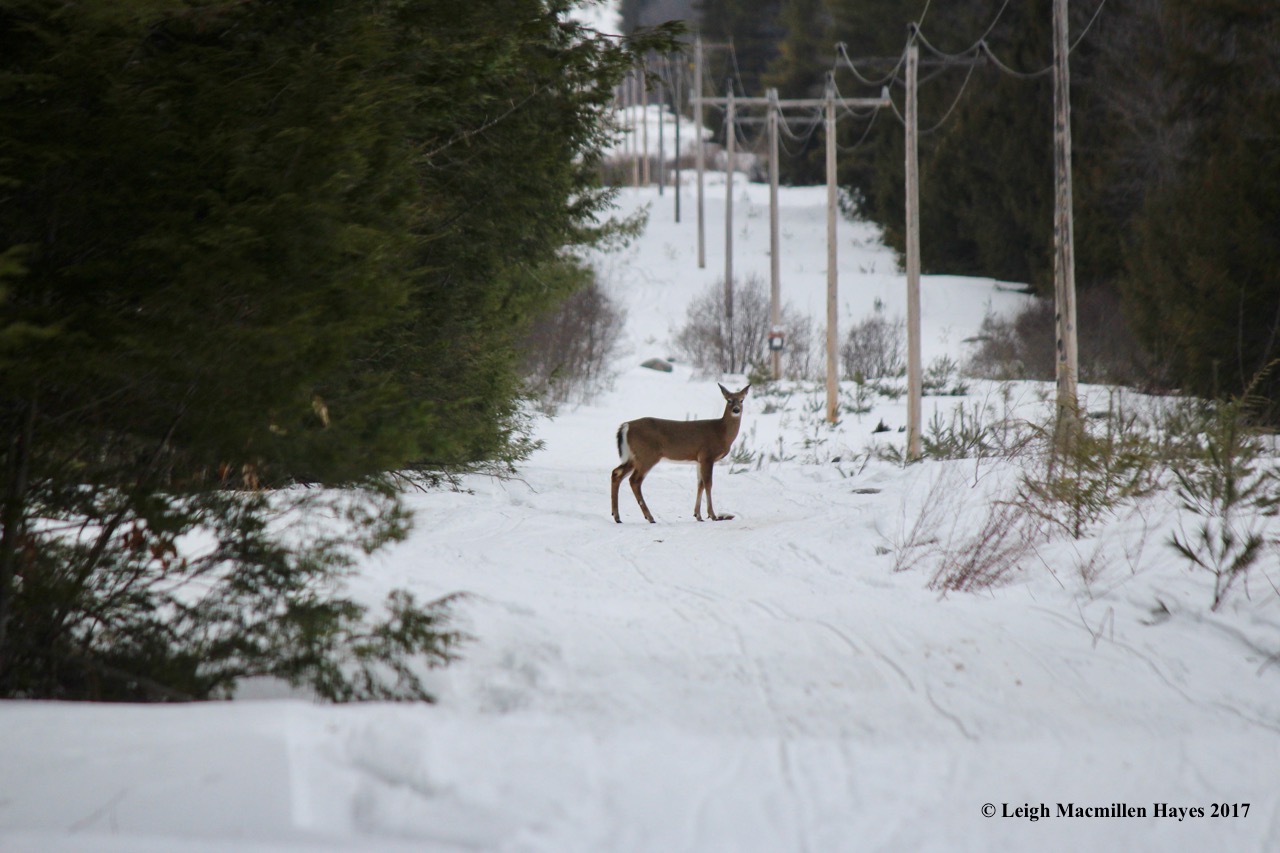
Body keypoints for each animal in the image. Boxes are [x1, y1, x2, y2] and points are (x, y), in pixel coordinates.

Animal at [611, 383, 750, 524]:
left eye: (742, 400)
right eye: (729, 400)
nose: (736, 410)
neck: (721, 432)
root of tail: (626, 426)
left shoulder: (699, 459)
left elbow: (700, 484)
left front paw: (698, 515)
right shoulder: (707, 455)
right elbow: (708, 483)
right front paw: (712, 515)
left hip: (633, 457)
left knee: (616, 473)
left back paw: (617, 516)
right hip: (647, 455)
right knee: (634, 480)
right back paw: (649, 517)